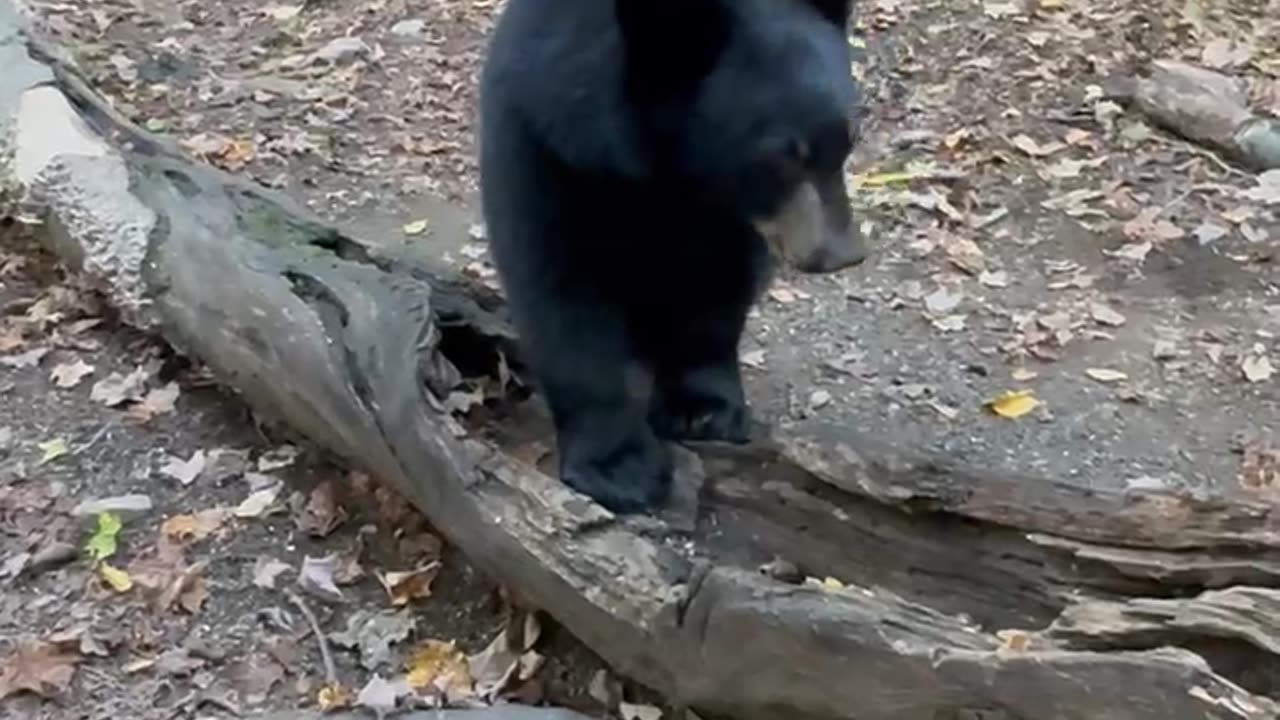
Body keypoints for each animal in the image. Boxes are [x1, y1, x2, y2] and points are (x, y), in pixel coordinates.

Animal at [481, 0, 870, 509]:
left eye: (850, 138)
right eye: (781, 156)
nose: (843, 253)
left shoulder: (723, 215)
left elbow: (715, 283)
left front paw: (702, 409)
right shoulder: (546, 145)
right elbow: (561, 294)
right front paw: (620, 468)